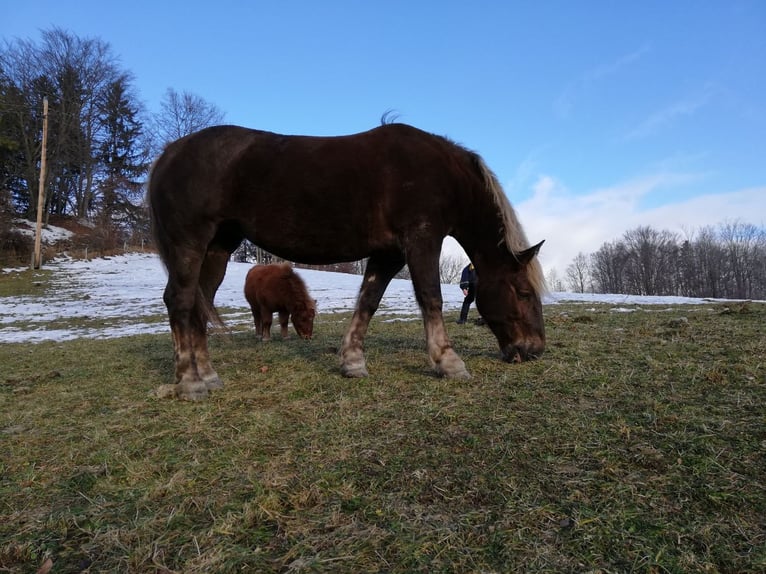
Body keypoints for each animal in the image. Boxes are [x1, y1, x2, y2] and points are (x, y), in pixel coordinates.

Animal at [148, 121, 544, 400]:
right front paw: (448, 362)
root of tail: (170, 152)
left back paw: (208, 376)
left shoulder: (389, 252)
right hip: (190, 243)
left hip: (218, 248)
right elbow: (431, 297)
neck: (440, 174)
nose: (536, 350)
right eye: (524, 293)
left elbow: (368, 301)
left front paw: (352, 361)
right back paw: (190, 382)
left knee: (199, 303)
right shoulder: (421, 240)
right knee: (180, 301)